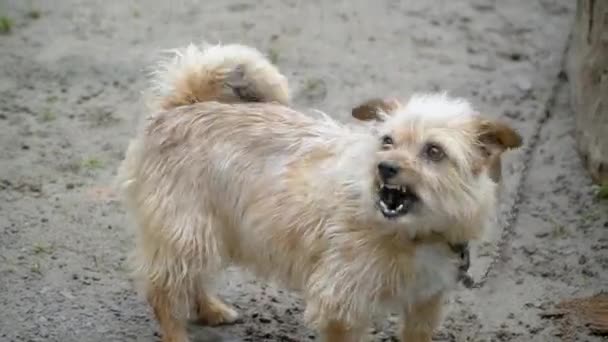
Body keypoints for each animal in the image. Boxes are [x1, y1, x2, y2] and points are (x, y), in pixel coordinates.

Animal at [117, 43, 524, 342]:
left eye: (434, 151)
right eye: (387, 141)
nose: (385, 168)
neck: (414, 234)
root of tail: (181, 107)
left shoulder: (424, 306)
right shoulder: (341, 304)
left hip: (208, 230)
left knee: (193, 277)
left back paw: (211, 309)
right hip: (187, 230)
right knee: (163, 291)